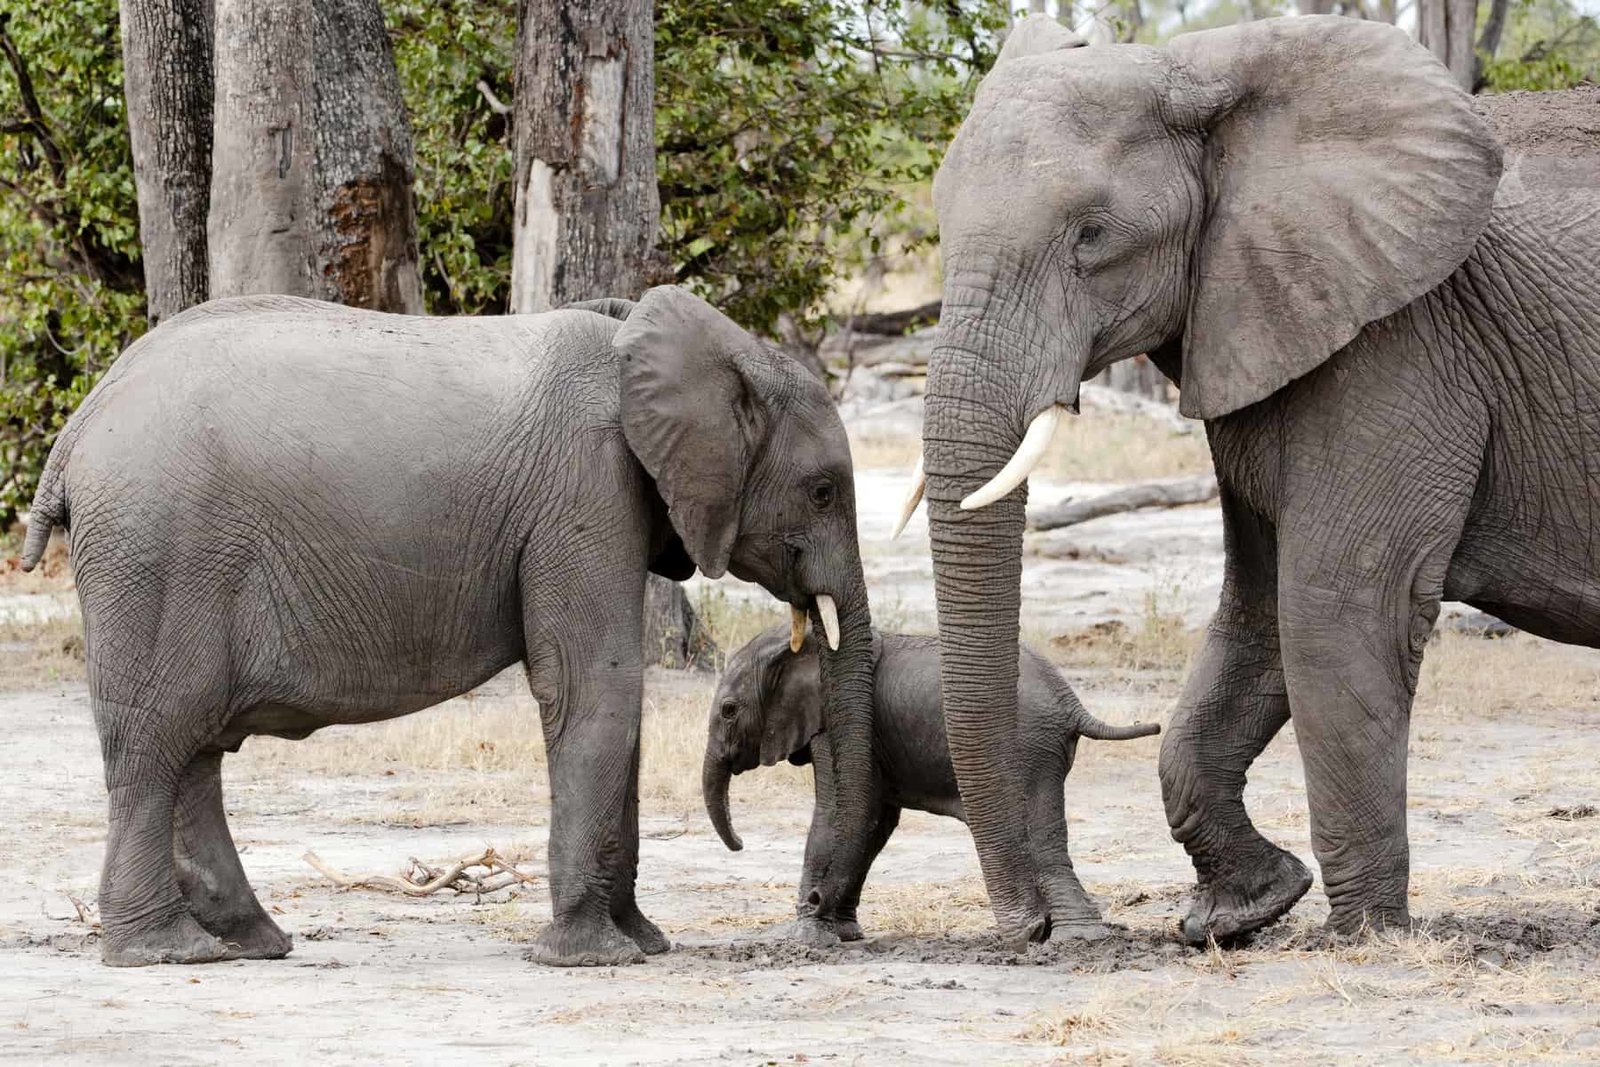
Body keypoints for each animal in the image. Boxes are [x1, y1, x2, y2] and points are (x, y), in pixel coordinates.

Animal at [20, 285, 878, 967]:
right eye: (824, 489)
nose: (828, 923)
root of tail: (77, 427)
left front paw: (644, 941)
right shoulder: (584, 490)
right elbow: (595, 686)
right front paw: (593, 957)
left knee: (194, 746)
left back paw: (249, 942)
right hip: (157, 552)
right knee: (155, 743)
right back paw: (167, 952)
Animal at [703, 624, 1158, 942]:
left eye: (728, 710)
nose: (739, 844)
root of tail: (1071, 703)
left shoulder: (840, 724)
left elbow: (842, 810)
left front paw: (807, 936)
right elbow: (875, 821)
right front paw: (843, 932)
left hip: (1026, 747)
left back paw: (1075, 937)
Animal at [886, 13, 1600, 946]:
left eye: (1091, 236)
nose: (1035, 928)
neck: (1210, 70)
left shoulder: (1400, 339)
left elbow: (1331, 605)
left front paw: (1363, 936)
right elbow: (1254, 613)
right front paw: (1242, 912)